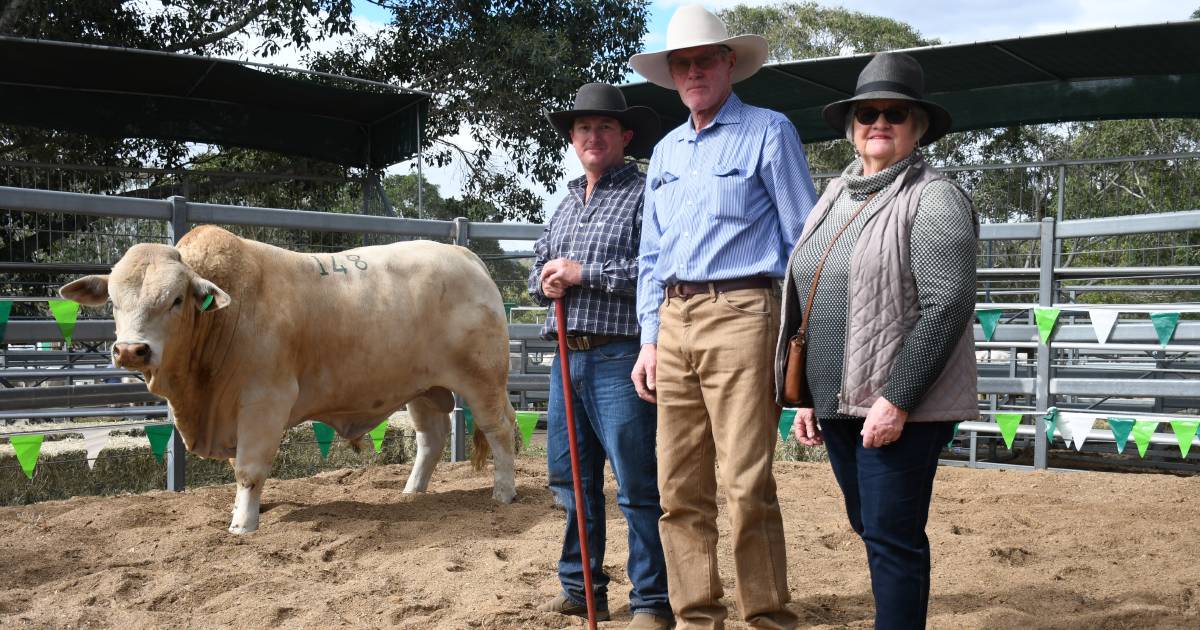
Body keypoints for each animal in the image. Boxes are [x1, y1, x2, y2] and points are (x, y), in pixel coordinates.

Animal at [59, 225, 516, 530]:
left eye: (175, 300)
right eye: (113, 300)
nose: (131, 350)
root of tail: (464, 255)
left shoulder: (264, 401)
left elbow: (249, 468)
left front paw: (243, 525)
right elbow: (238, 467)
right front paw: (246, 511)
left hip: (483, 379)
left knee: (500, 429)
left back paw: (504, 493)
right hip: (421, 388)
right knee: (431, 439)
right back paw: (412, 491)